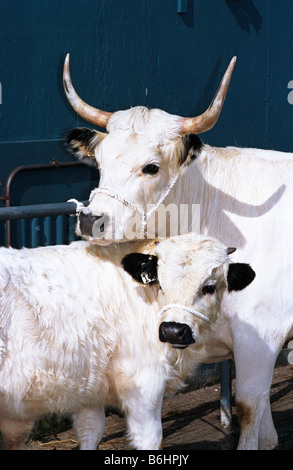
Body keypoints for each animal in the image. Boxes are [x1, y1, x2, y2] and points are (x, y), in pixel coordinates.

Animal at [0, 234, 253, 448]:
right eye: (160, 284)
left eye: (209, 287)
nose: (173, 330)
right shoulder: (143, 385)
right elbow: (151, 440)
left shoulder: (91, 389)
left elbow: (91, 432)